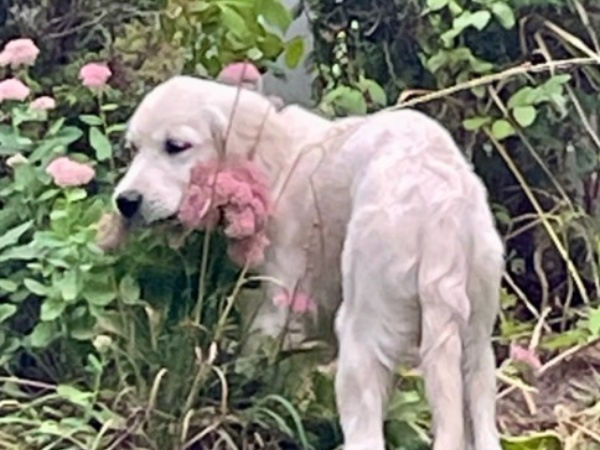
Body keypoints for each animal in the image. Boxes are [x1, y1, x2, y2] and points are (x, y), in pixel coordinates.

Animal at [113, 75, 506, 450]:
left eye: (175, 146)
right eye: (133, 149)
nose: (125, 201)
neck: (277, 162)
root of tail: (441, 205)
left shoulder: (277, 306)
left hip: (362, 331)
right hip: (476, 347)